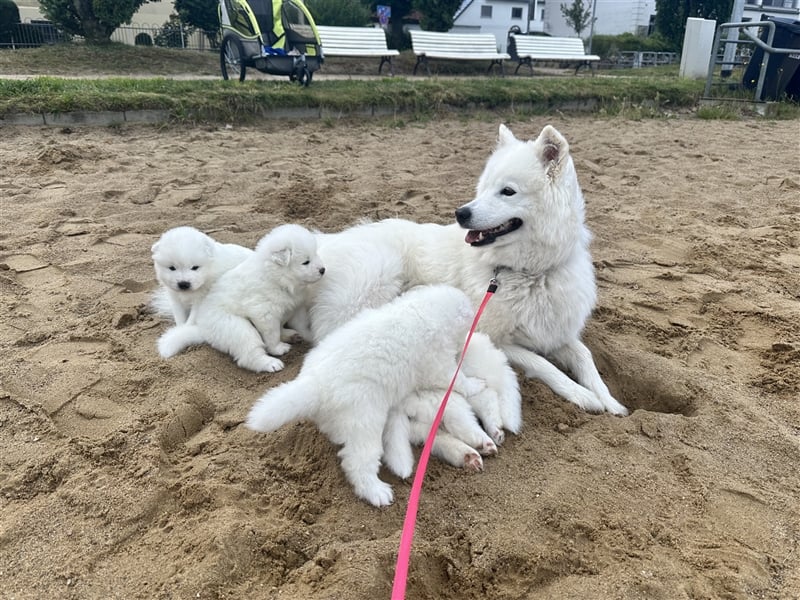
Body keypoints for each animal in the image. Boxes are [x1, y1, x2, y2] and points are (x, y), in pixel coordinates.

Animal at [157, 224, 324, 372]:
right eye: (305, 262)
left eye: (316, 254)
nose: (323, 270)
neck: (276, 277)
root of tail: (203, 329)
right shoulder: (264, 313)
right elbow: (272, 334)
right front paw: (277, 348)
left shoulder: (296, 306)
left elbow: (302, 325)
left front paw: (312, 336)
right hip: (238, 329)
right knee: (249, 355)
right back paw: (270, 363)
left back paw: (290, 335)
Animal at [247, 284, 484, 506]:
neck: (423, 310)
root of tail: (315, 385)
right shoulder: (438, 364)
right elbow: (458, 379)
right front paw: (477, 384)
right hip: (364, 422)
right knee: (356, 462)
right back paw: (376, 492)